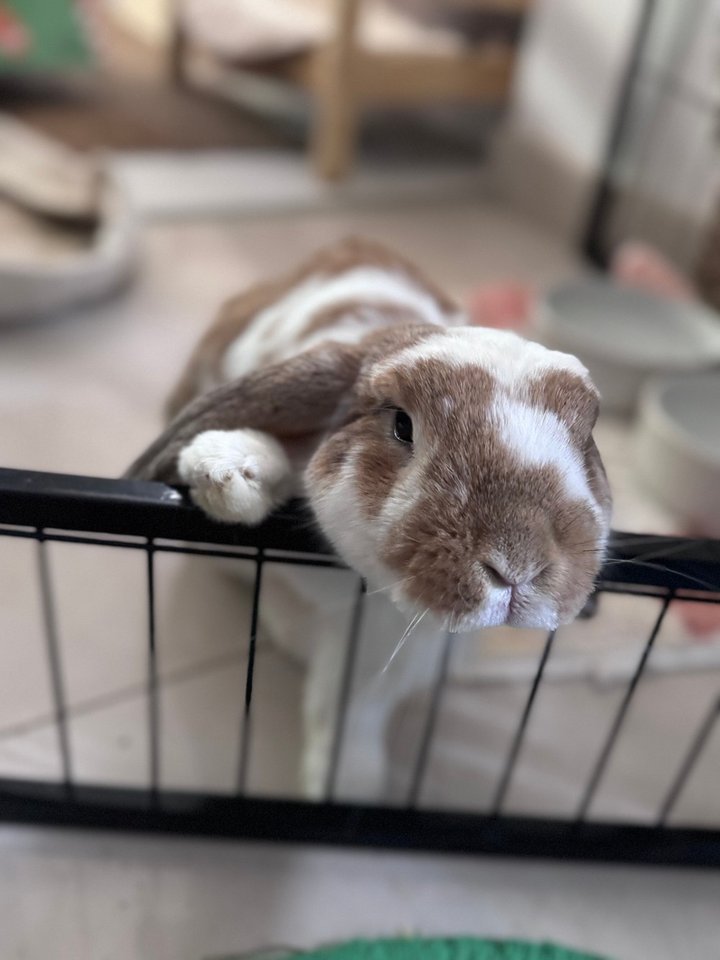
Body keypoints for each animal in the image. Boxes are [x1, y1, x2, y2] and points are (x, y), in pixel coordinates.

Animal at [126, 237, 612, 800]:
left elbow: (349, 710)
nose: (520, 567)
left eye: (585, 443)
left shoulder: (381, 641)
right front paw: (226, 467)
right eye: (402, 425)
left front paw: (345, 787)